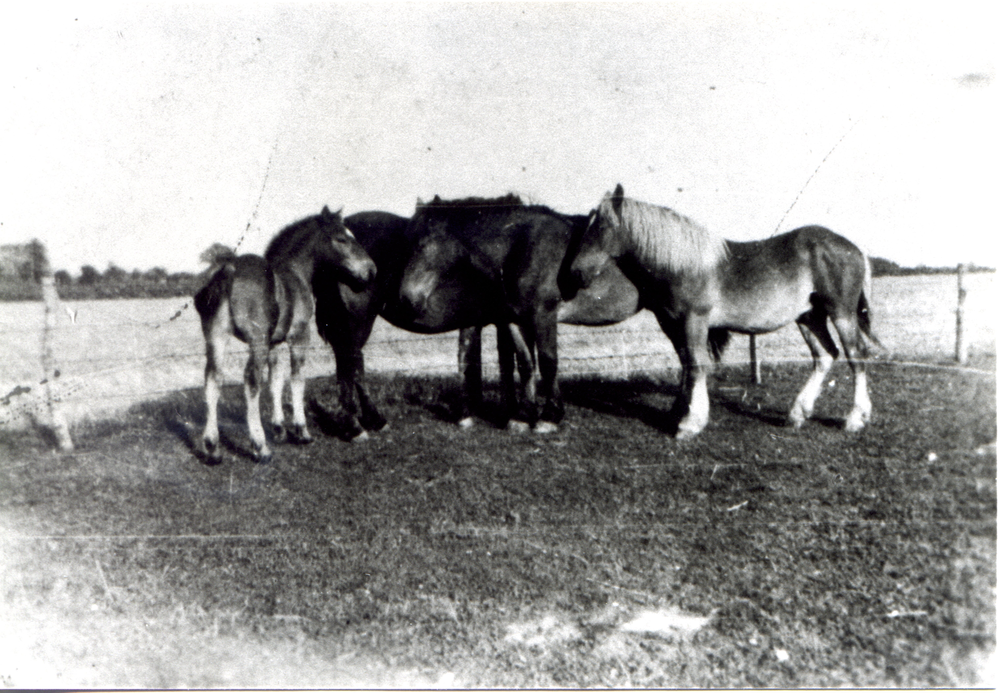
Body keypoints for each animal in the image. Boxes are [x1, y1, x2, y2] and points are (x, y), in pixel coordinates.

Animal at [194, 207, 376, 464]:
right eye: (342, 238)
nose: (371, 270)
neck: (295, 273)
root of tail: (228, 271)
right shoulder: (299, 335)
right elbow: (297, 379)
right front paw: (301, 431)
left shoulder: (274, 343)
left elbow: (276, 380)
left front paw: (279, 429)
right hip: (256, 340)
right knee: (251, 381)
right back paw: (260, 447)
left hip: (216, 337)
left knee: (212, 380)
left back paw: (212, 448)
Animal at [560, 184, 880, 438]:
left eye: (601, 226)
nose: (576, 273)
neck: (684, 264)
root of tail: (854, 248)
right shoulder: (674, 324)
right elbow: (687, 364)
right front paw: (680, 414)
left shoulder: (695, 321)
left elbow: (697, 365)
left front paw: (690, 423)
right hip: (809, 317)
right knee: (825, 356)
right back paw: (798, 413)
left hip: (841, 313)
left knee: (856, 355)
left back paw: (855, 418)